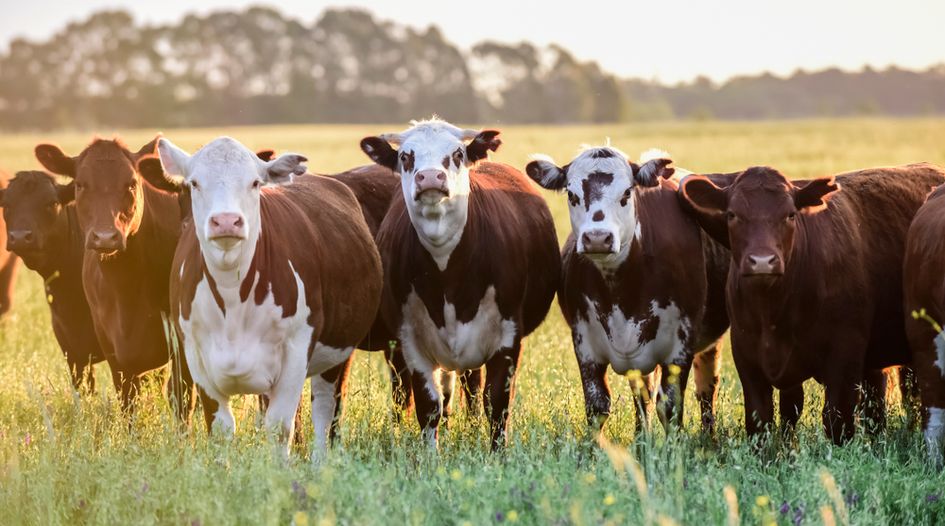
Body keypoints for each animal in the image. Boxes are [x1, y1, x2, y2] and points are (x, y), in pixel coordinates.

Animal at [34, 137, 192, 417]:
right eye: (80, 184)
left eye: (131, 183)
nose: (106, 237)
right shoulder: (113, 350)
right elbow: (128, 403)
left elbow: (182, 399)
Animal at [141, 136, 382, 458]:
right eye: (194, 183)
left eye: (255, 183)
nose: (226, 221)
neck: (232, 296)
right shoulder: (195, 353)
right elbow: (220, 429)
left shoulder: (297, 348)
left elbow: (279, 428)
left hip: (337, 351)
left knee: (325, 410)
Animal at [360, 118, 560, 450]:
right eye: (405, 156)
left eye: (457, 154)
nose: (430, 177)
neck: (446, 273)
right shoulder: (410, 339)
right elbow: (429, 405)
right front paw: (431, 455)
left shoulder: (508, 336)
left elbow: (497, 401)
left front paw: (497, 454)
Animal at [525, 147, 728, 433]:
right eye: (572, 195)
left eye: (627, 193)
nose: (597, 238)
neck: (620, 290)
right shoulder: (584, 342)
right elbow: (598, 406)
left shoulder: (680, 345)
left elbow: (671, 407)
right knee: (644, 398)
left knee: (707, 389)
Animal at [681, 163, 945, 444]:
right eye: (732, 214)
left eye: (790, 215)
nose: (762, 261)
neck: (772, 312)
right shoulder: (748, 360)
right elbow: (762, 423)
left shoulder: (844, 357)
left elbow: (837, 422)